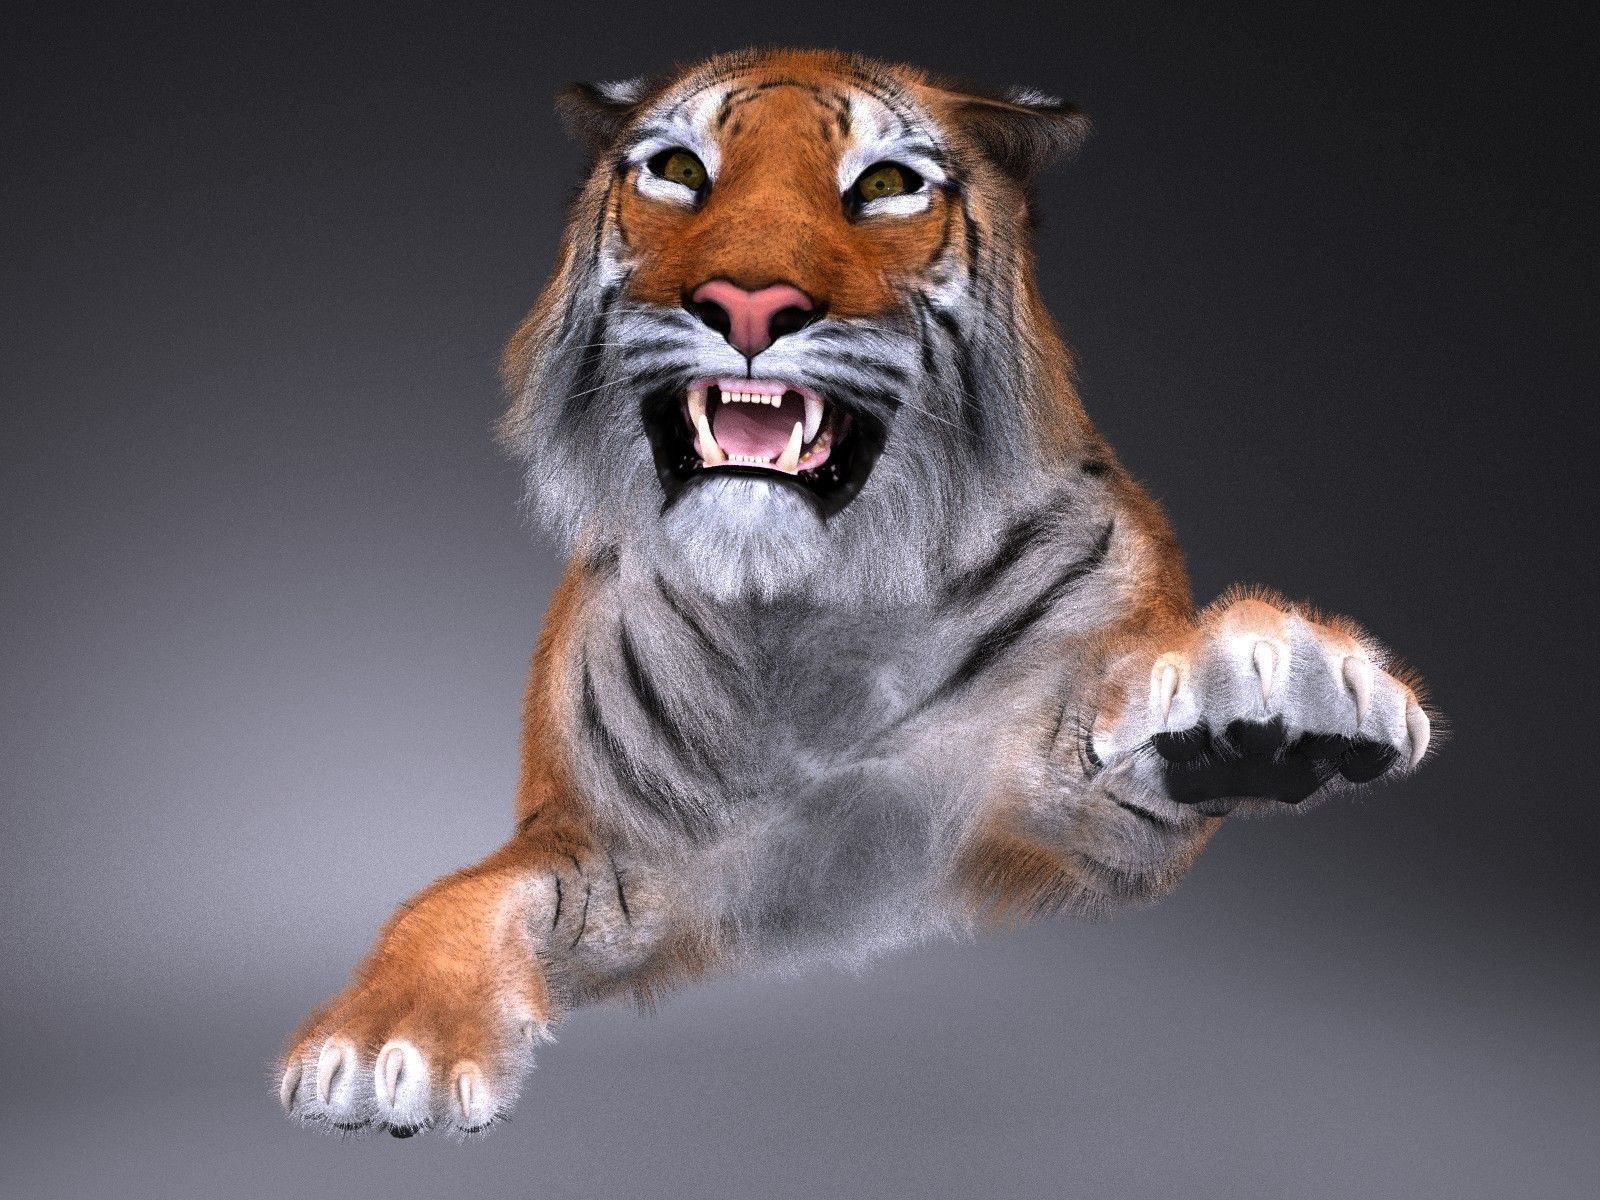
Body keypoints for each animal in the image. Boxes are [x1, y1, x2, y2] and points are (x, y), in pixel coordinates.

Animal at [276, 47, 1436, 1138]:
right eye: (679, 172)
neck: (802, 619)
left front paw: (1278, 683)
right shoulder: (627, 859)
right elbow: (464, 900)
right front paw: (383, 1043)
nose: (748, 304)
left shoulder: (1040, 843)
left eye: (883, 184)